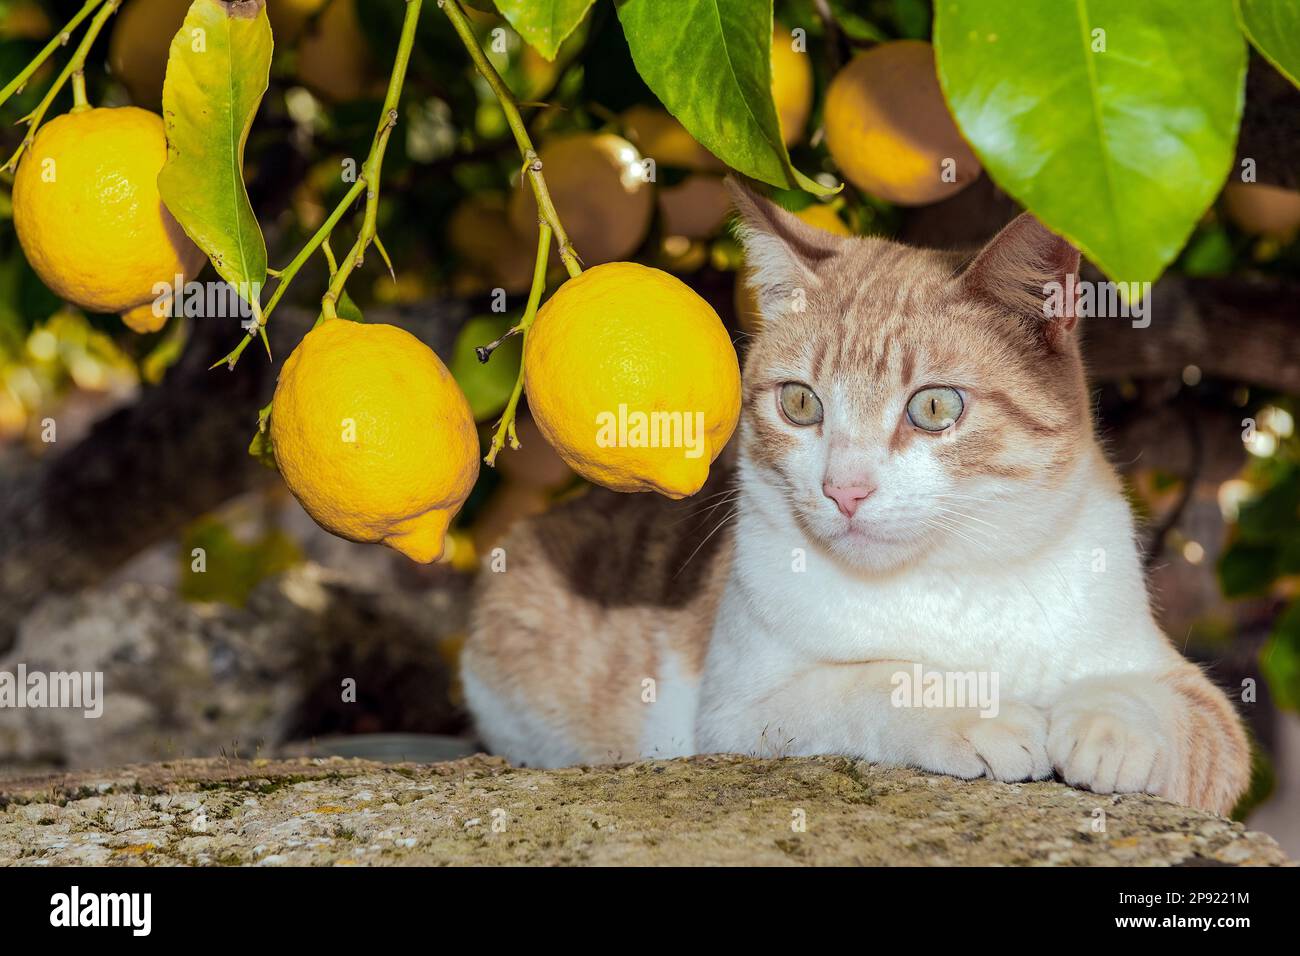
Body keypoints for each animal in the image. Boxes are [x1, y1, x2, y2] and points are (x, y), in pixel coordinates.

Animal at [462, 178, 1253, 816]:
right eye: (800, 404)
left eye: (934, 407)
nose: (844, 489)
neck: (953, 581)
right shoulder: (737, 712)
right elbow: (873, 682)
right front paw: (975, 706)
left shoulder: (1190, 694)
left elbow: (1176, 712)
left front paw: (1109, 727)